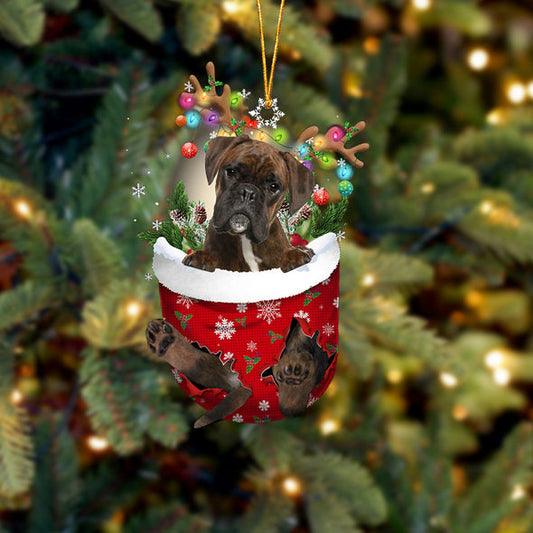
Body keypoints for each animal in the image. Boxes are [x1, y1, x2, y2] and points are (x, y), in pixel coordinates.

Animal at [147, 134, 316, 428]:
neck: (245, 240)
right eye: (232, 172)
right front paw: (200, 258)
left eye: (274, 186)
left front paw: (297, 254)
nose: (247, 192)